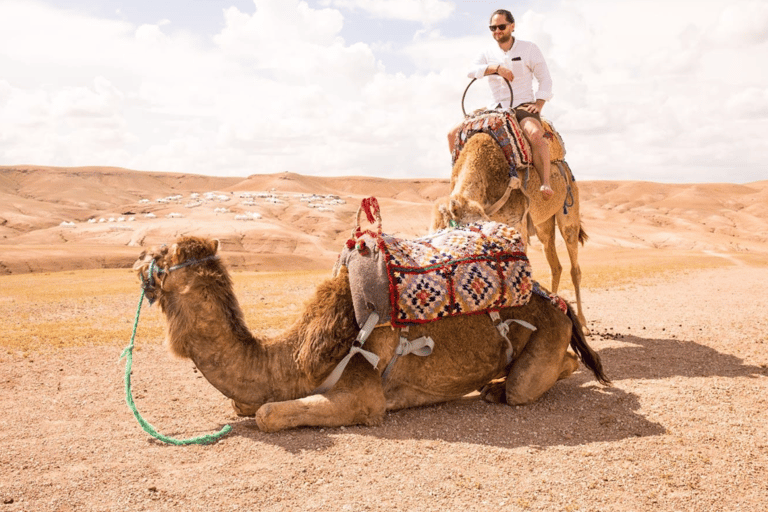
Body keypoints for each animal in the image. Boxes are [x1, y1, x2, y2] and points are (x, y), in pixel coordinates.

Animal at [135, 235, 608, 432]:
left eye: (161, 253)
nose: (138, 260)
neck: (291, 359)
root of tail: (555, 300)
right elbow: (244, 402)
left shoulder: (363, 396)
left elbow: (268, 414)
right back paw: (493, 384)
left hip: (545, 339)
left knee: (526, 385)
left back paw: (497, 388)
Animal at [432, 132, 588, 332]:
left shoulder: (517, 222)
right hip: (543, 225)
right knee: (555, 264)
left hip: (569, 208)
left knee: (574, 264)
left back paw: (583, 323)